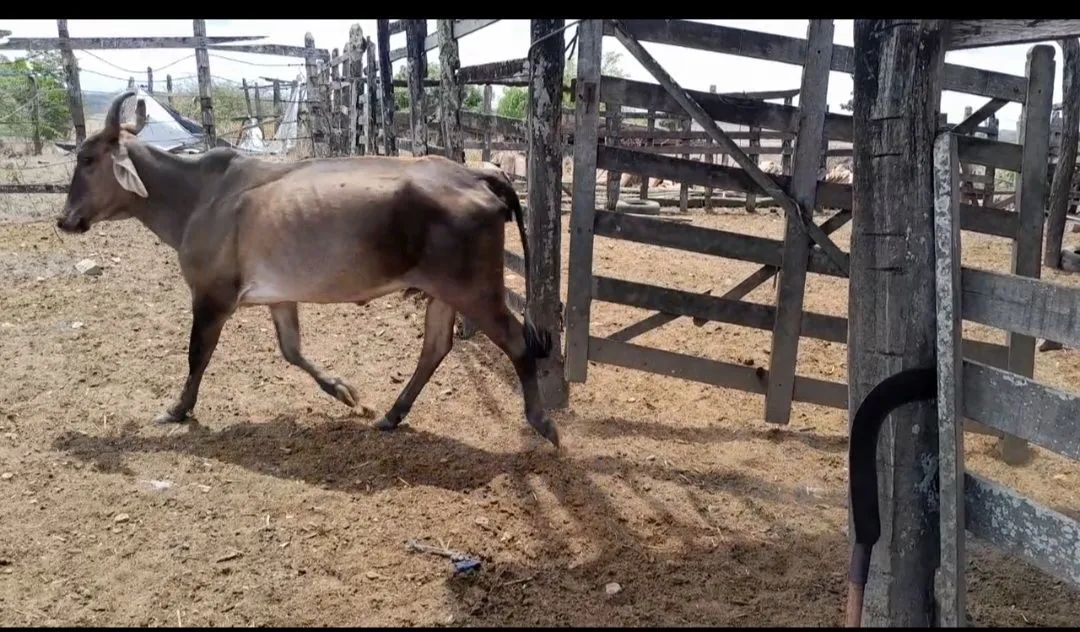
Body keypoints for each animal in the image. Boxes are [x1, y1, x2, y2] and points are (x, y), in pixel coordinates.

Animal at [55, 91, 561, 448]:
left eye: (87, 159)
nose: (64, 220)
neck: (196, 198)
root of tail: (476, 174)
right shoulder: (279, 296)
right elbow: (292, 350)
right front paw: (343, 391)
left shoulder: (211, 295)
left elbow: (197, 355)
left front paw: (177, 410)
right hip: (443, 291)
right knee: (435, 348)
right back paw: (391, 415)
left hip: (475, 289)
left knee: (517, 343)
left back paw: (542, 423)